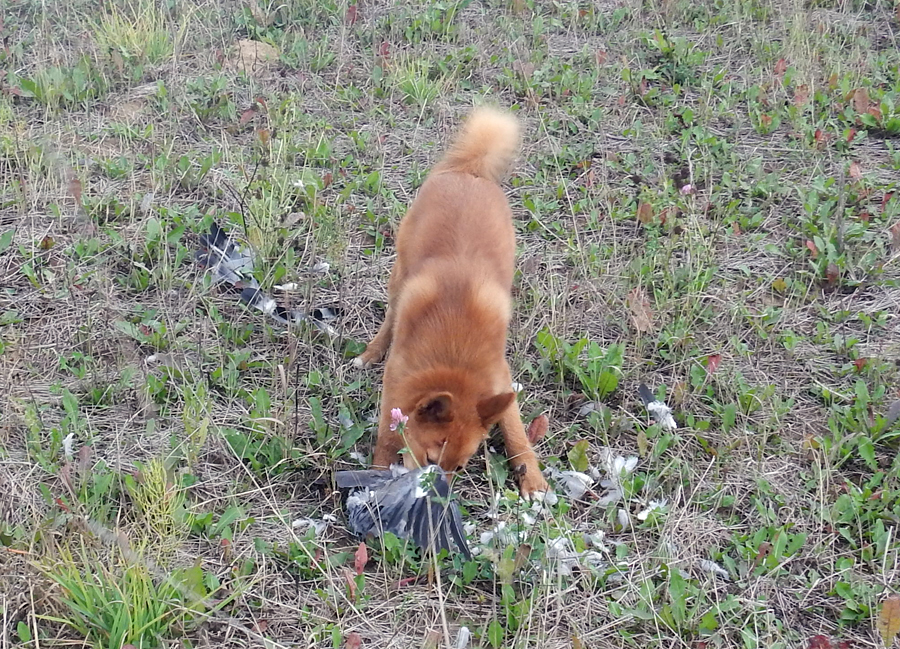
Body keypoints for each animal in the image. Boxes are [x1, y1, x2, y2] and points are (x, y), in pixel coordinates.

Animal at [353, 107, 548, 499]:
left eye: (457, 469)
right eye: (429, 459)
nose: (436, 497)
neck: (455, 352)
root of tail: (470, 172)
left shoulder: (500, 379)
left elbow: (516, 431)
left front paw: (531, 477)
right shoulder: (396, 386)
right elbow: (386, 436)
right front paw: (378, 477)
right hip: (399, 274)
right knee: (391, 317)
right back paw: (371, 351)